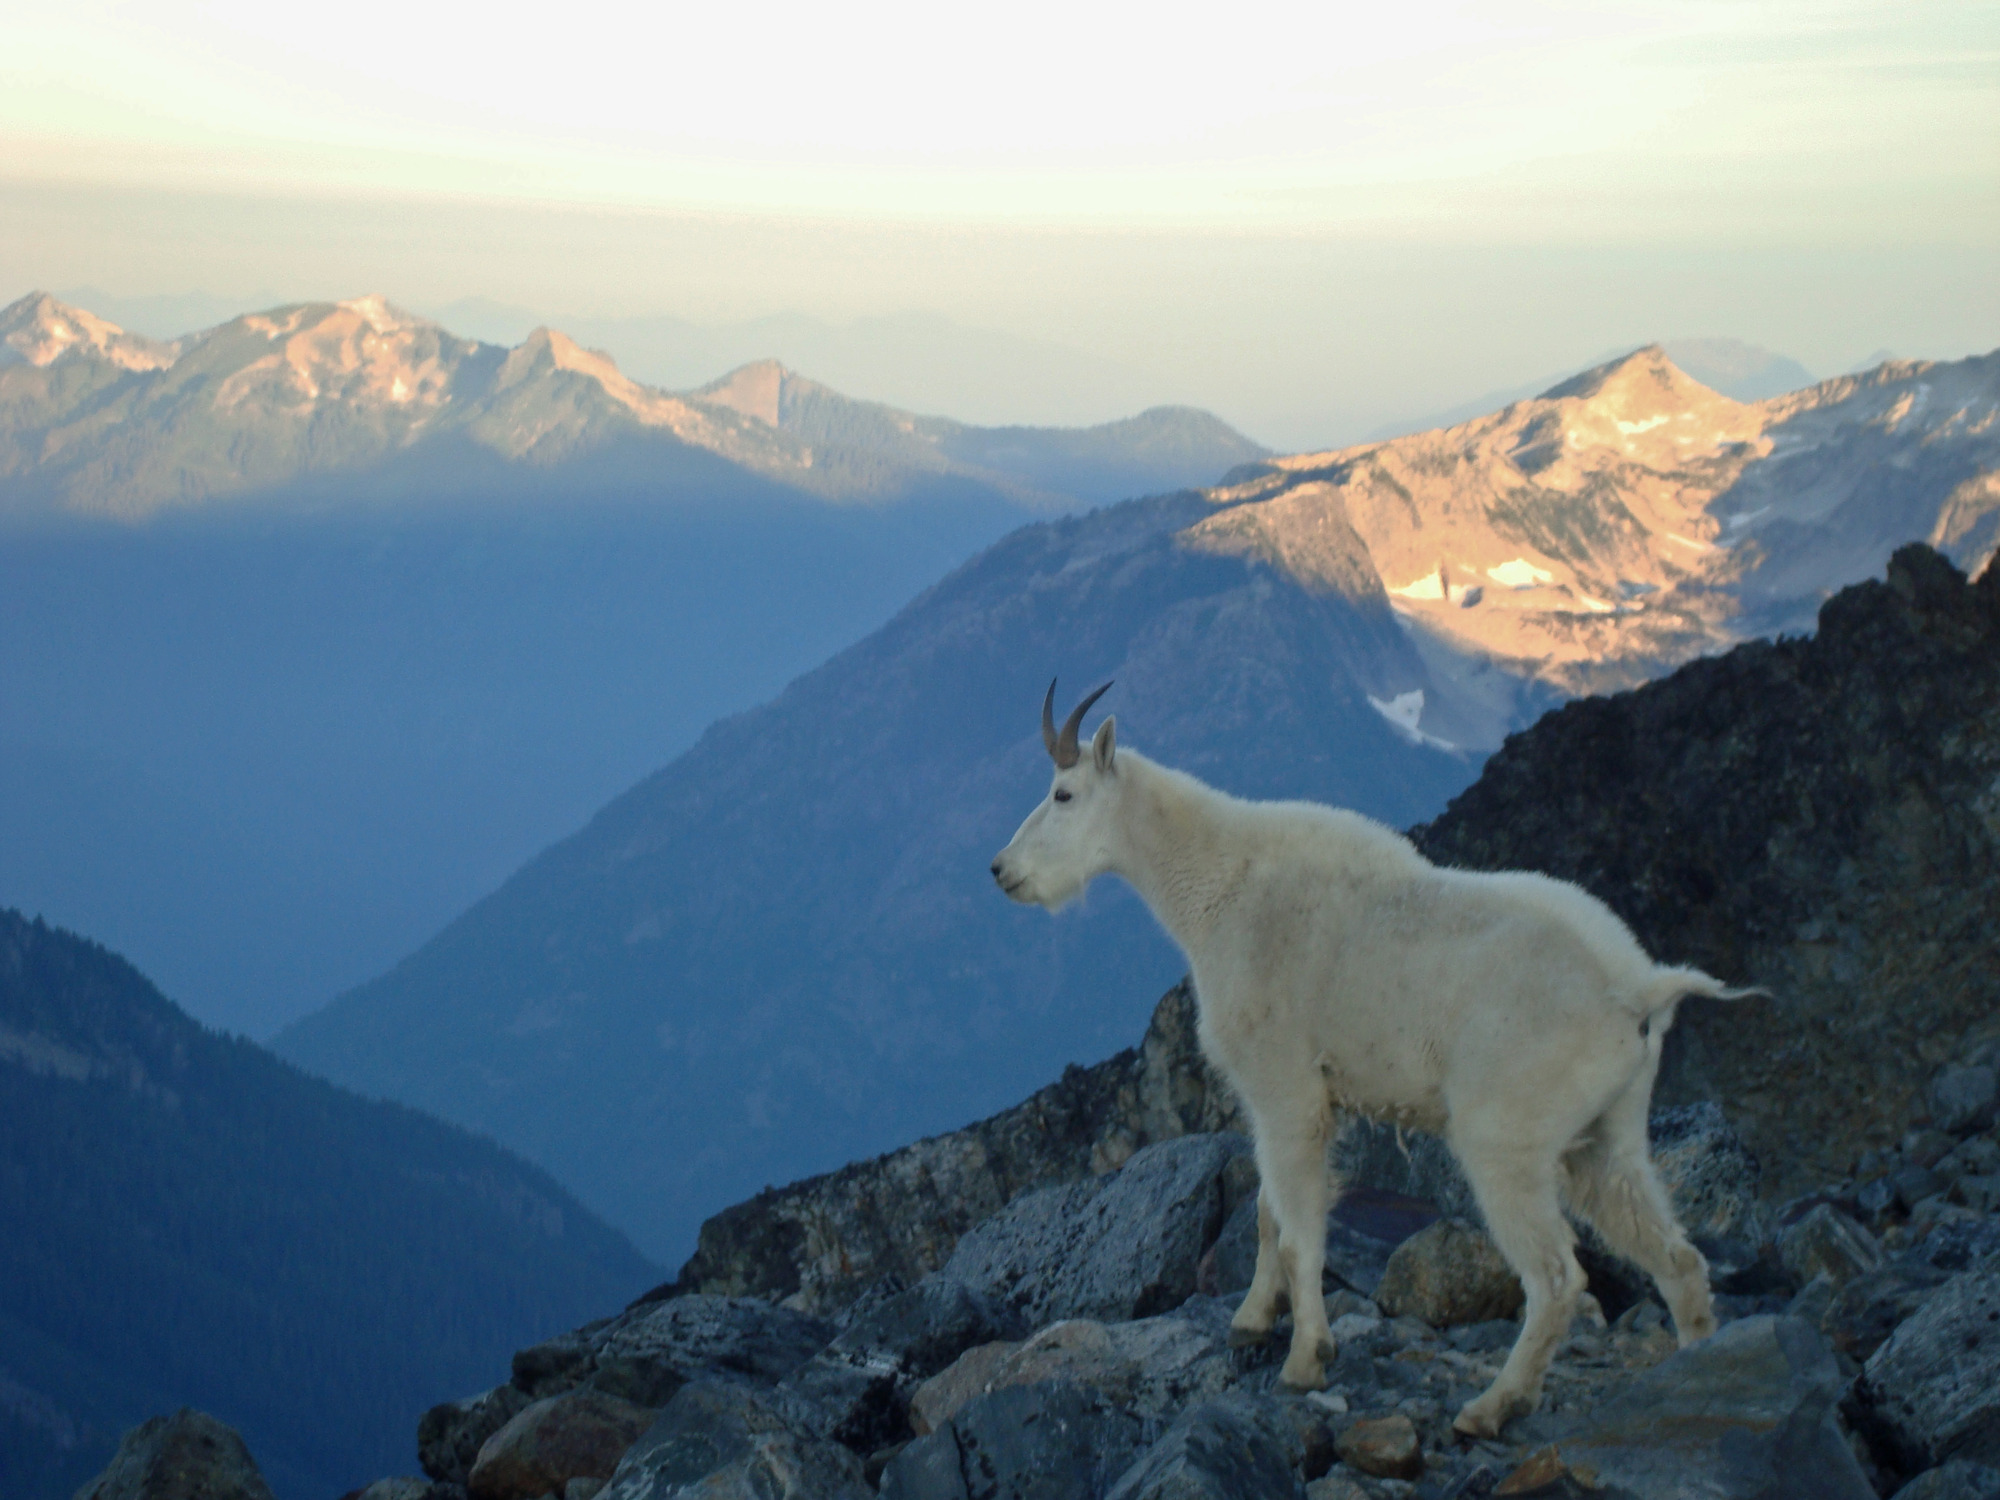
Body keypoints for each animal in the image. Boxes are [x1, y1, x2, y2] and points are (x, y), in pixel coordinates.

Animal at [990, 681, 1759, 1436]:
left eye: (1063, 794)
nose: (1002, 871)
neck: (1219, 886)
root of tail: (1637, 987)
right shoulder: (1288, 1103)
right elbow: (1268, 1211)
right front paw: (1251, 1321)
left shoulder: (1285, 1089)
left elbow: (1298, 1234)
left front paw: (1306, 1359)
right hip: (1609, 1135)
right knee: (1676, 1253)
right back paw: (1691, 1365)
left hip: (1504, 1137)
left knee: (1556, 1276)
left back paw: (1491, 1406)